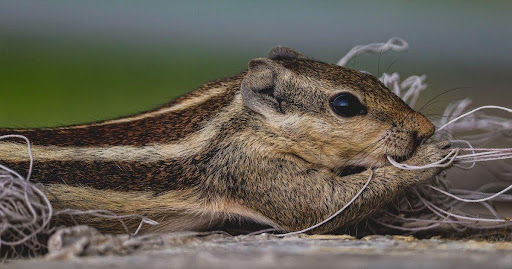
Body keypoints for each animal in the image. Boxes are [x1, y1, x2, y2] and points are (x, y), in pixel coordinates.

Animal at [0, 47, 448, 233]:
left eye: (371, 77)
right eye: (345, 104)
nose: (425, 127)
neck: (238, 115)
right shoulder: (250, 167)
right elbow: (321, 205)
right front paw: (432, 155)